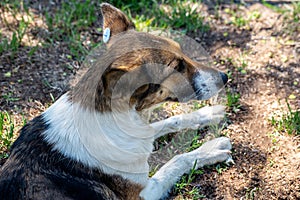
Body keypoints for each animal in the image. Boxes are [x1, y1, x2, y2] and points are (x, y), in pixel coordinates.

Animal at [0, 3, 232, 200]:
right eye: (177, 67)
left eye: (182, 50)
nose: (224, 77)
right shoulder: (143, 193)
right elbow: (177, 160)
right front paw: (212, 149)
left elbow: (170, 121)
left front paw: (208, 114)